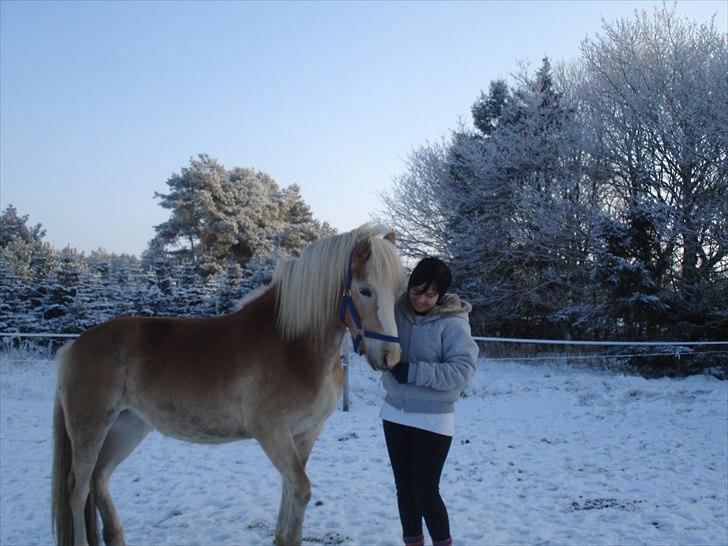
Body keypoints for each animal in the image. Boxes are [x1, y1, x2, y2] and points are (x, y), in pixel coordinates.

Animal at [51, 222, 404, 544]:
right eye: (365, 290)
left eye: (397, 292)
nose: (391, 356)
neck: (291, 344)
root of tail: (73, 346)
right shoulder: (271, 432)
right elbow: (300, 490)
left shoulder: (305, 434)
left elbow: (290, 494)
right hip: (90, 428)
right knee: (77, 489)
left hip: (129, 426)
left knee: (99, 479)